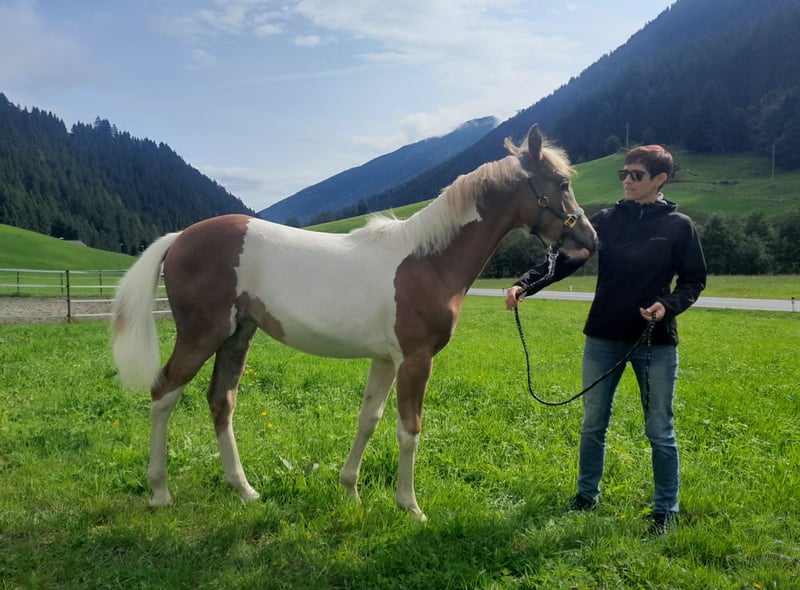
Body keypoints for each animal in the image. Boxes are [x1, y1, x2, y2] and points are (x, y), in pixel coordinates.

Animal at [111, 123, 597, 522]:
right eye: (562, 183)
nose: (589, 240)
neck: (429, 259)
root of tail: (179, 238)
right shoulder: (416, 360)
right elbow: (408, 429)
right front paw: (410, 506)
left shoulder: (385, 360)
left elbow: (369, 419)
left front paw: (349, 491)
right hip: (201, 336)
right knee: (163, 393)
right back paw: (160, 492)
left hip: (237, 336)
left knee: (220, 400)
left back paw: (245, 490)